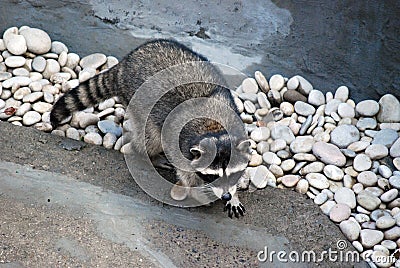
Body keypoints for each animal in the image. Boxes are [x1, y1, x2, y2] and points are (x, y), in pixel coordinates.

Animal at [50, 38, 250, 217]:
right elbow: (186, 174)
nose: (226, 196)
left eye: (232, 175)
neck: (214, 129)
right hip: (137, 102)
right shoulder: (179, 144)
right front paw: (199, 193)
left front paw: (234, 195)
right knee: (150, 140)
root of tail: (123, 65)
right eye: (213, 176)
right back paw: (150, 155)